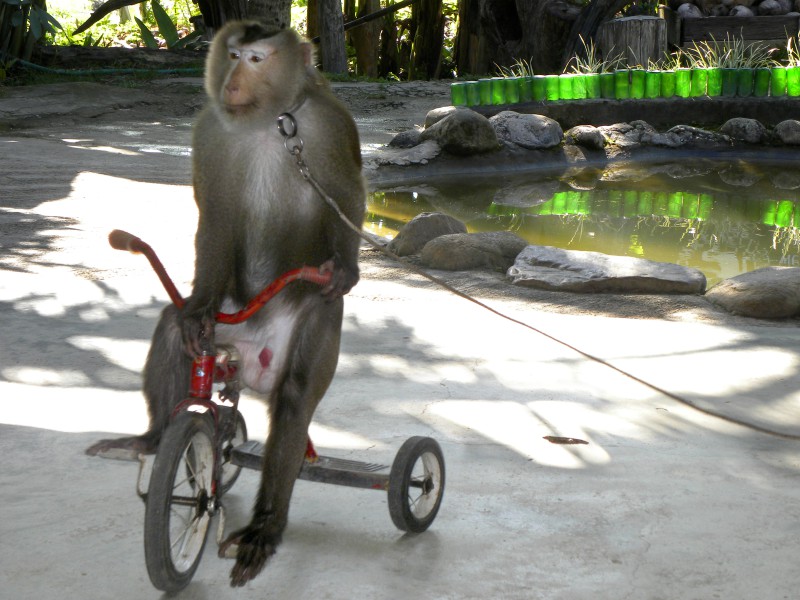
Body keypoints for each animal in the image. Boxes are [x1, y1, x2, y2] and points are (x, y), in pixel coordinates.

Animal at [86, 20, 365, 587]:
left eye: (257, 59)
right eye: (233, 54)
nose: (233, 81)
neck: (266, 124)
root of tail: (251, 356)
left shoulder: (328, 123)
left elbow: (348, 195)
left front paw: (345, 269)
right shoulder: (210, 131)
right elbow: (213, 215)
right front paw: (195, 304)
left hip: (301, 323)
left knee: (294, 395)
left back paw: (265, 528)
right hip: (228, 325)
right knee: (175, 331)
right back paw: (152, 439)